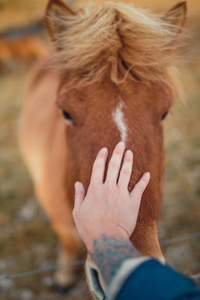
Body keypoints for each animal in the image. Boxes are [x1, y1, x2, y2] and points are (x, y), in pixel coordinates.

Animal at [19, 0, 187, 298]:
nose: (121, 269)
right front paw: (63, 277)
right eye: (65, 112)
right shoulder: (60, 219)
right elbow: (68, 239)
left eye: (165, 112)